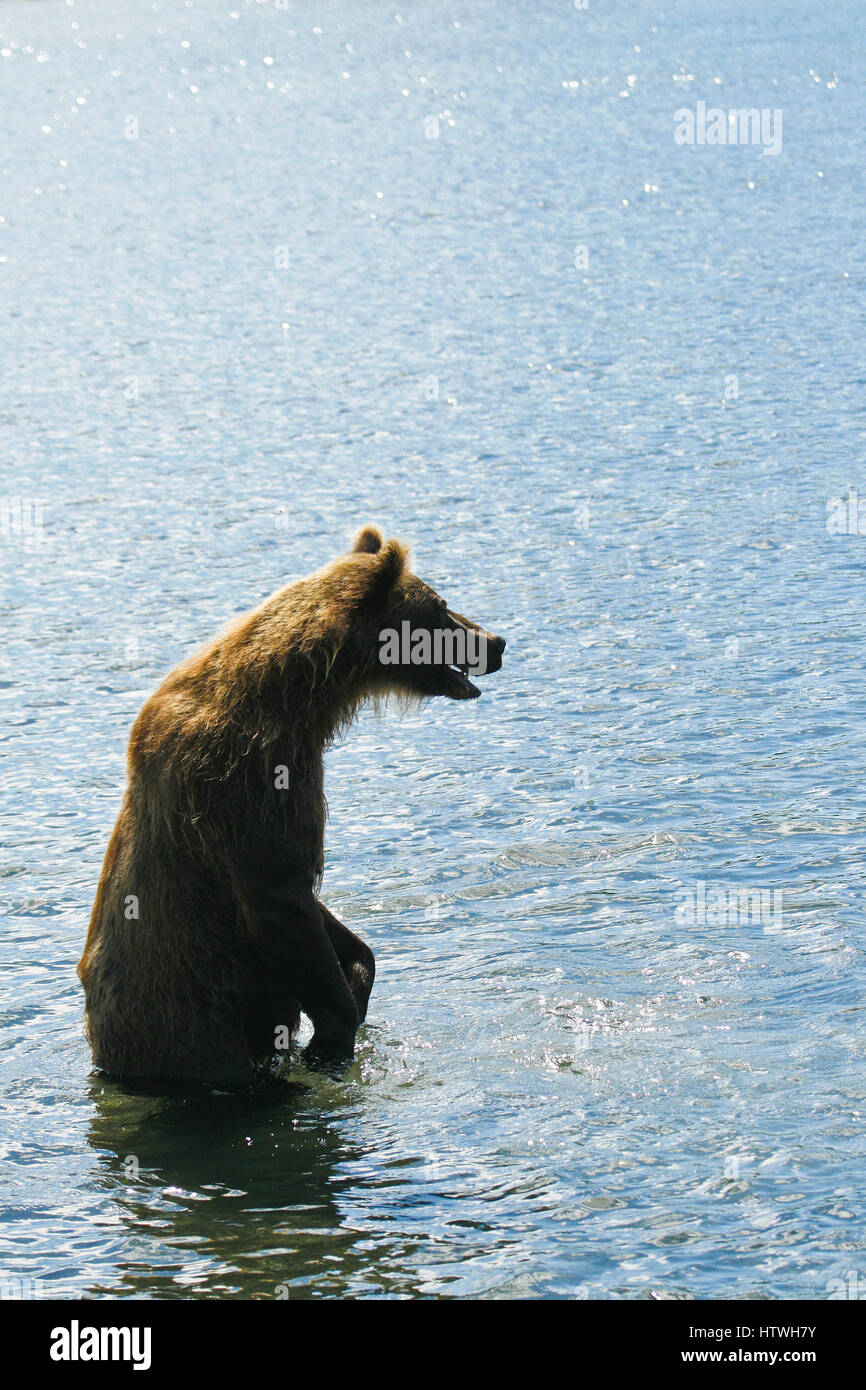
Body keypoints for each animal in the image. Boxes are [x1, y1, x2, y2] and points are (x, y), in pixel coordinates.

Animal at [79, 525, 508, 1078]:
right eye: (441, 605)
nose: (497, 642)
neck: (302, 694)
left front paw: (357, 969)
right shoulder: (254, 771)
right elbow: (279, 891)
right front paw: (333, 1029)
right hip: (193, 1021)